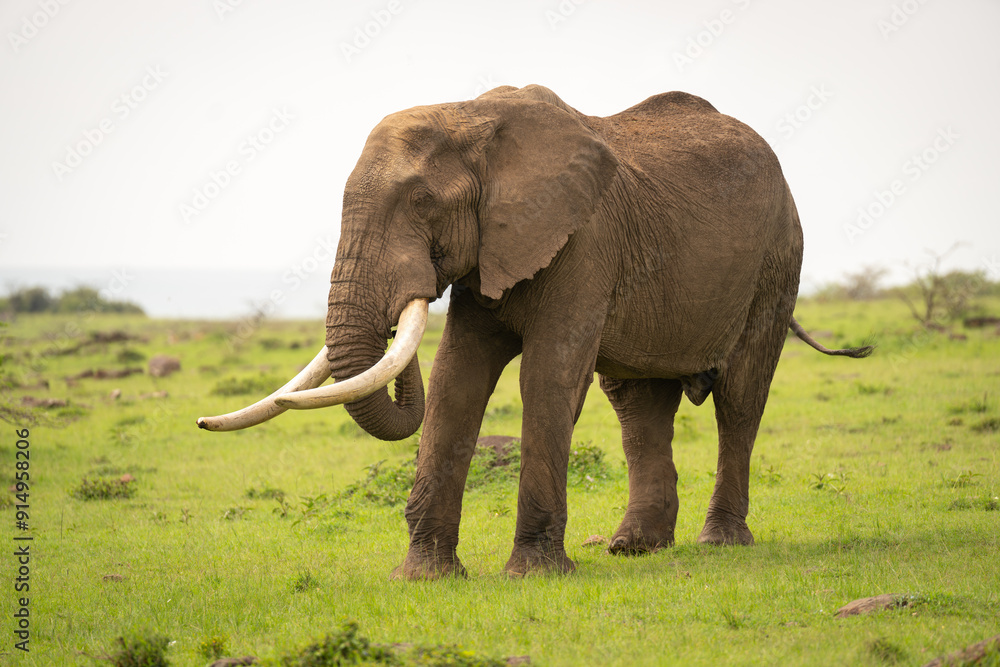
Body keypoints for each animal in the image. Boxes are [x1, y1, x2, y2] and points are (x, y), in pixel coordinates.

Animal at [198, 84, 872, 579]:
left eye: (421, 203)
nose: (408, 297)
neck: (470, 115)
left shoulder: (584, 239)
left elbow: (548, 377)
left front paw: (533, 576)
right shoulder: (491, 253)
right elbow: (456, 381)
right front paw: (425, 577)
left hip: (778, 260)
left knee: (740, 398)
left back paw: (720, 543)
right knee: (637, 405)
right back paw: (635, 548)